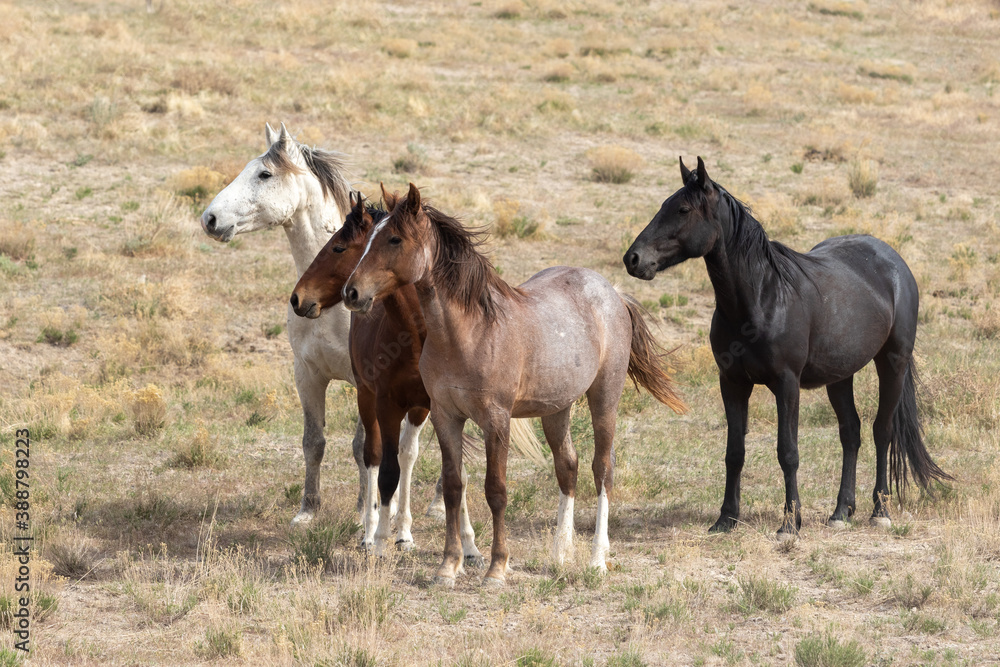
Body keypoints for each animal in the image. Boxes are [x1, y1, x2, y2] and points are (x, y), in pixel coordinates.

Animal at [201, 125, 440, 528]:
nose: (210, 219)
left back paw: (436, 505)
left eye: (264, 174)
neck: (333, 310)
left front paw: (365, 511)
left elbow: (365, 446)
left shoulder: (366, 382)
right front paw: (308, 510)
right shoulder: (307, 374)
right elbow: (313, 442)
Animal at [290, 197, 548, 560]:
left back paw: (404, 531)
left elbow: (452, 470)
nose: (298, 298)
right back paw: (371, 530)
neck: (415, 335)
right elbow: (385, 470)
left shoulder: (441, 406)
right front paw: (378, 537)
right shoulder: (386, 403)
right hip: (367, 398)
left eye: (338, 247)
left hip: (416, 409)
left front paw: (468, 545)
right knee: (372, 455)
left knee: (406, 455)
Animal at [344, 185, 688, 588]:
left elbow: (496, 490)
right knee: (567, 467)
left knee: (602, 469)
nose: (352, 293)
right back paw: (560, 553)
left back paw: (597, 559)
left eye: (395, 239)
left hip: (604, 399)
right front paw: (448, 566)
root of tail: (613, 292)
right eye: (370, 236)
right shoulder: (445, 416)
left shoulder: (496, 421)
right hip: (557, 409)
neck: (468, 332)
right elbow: (453, 487)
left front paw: (496, 567)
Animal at [620, 157, 948, 536]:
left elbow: (787, 452)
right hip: (840, 376)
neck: (761, 300)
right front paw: (726, 519)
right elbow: (735, 452)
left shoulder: (787, 384)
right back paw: (841, 511)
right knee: (851, 433)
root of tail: (895, 263)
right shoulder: (732, 383)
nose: (633, 259)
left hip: (892, 362)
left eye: (683, 209)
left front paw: (791, 521)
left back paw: (880, 510)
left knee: (883, 431)